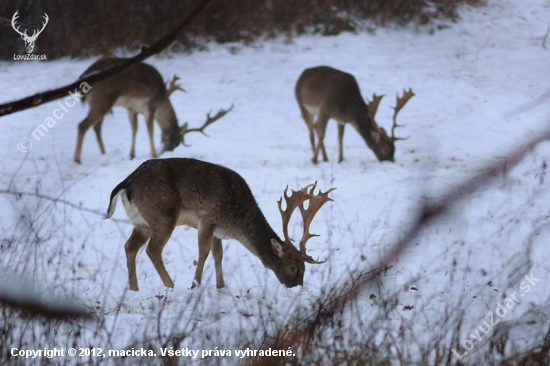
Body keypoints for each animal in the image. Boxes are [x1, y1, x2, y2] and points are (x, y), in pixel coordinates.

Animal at [73, 56, 233, 163]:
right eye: (173, 142)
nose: (165, 152)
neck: (162, 98)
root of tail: (83, 76)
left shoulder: (131, 108)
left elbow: (134, 128)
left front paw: (132, 154)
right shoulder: (149, 106)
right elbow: (150, 129)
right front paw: (154, 154)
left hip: (101, 104)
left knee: (96, 127)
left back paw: (104, 154)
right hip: (103, 100)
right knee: (83, 124)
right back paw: (77, 159)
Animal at [104, 159, 336, 290]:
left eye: (305, 268)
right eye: (292, 267)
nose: (297, 287)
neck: (237, 223)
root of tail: (126, 183)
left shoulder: (218, 230)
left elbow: (218, 254)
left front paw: (220, 286)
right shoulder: (207, 218)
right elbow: (203, 252)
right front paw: (194, 285)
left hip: (141, 223)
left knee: (130, 247)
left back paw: (134, 289)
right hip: (163, 215)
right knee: (152, 250)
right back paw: (171, 286)